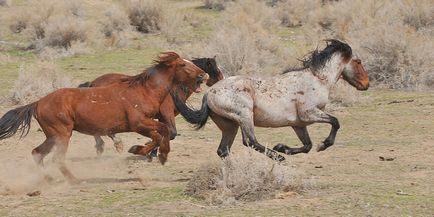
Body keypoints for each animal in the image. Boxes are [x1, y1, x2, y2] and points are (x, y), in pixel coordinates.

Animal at [0, 51, 209, 184]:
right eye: (183, 64)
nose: (203, 75)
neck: (144, 91)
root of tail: (37, 103)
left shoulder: (149, 122)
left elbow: (164, 132)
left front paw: (159, 154)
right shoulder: (138, 124)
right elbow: (161, 134)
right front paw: (140, 150)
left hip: (53, 136)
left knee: (37, 153)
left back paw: (49, 179)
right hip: (61, 135)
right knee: (56, 159)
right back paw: (75, 181)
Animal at [76, 57, 224, 156]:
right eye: (214, 68)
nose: (222, 80)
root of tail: (92, 83)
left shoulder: (160, 117)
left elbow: (166, 133)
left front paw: (150, 150)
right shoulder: (166, 112)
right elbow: (172, 132)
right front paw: (147, 150)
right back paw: (113, 144)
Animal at [171, 39, 368, 161]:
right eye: (358, 62)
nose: (366, 84)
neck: (318, 80)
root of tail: (208, 94)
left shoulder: (299, 124)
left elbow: (307, 145)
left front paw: (283, 147)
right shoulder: (309, 114)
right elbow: (335, 122)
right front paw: (324, 145)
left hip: (230, 125)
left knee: (223, 150)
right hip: (244, 115)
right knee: (249, 141)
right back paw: (277, 158)